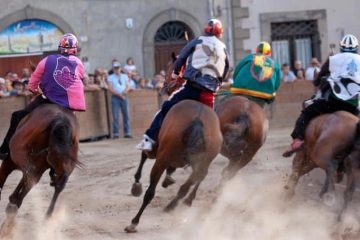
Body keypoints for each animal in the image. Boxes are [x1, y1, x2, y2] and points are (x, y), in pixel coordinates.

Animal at [0, 103, 81, 236]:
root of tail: (60, 118)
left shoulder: (9, 162)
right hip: (60, 163)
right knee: (59, 183)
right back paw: (46, 219)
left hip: (18, 158)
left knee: (29, 177)